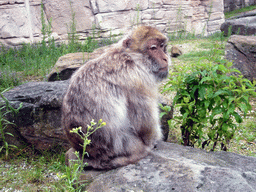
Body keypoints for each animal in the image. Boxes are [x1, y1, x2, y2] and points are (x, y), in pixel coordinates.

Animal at [61, 25, 171, 170]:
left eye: (163, 47)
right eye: (153, 48)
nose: (165, 58)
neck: (131, 57)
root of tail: (95, 158)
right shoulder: (139, 80)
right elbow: (144, 123)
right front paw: (153, 140)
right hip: (131, 147)